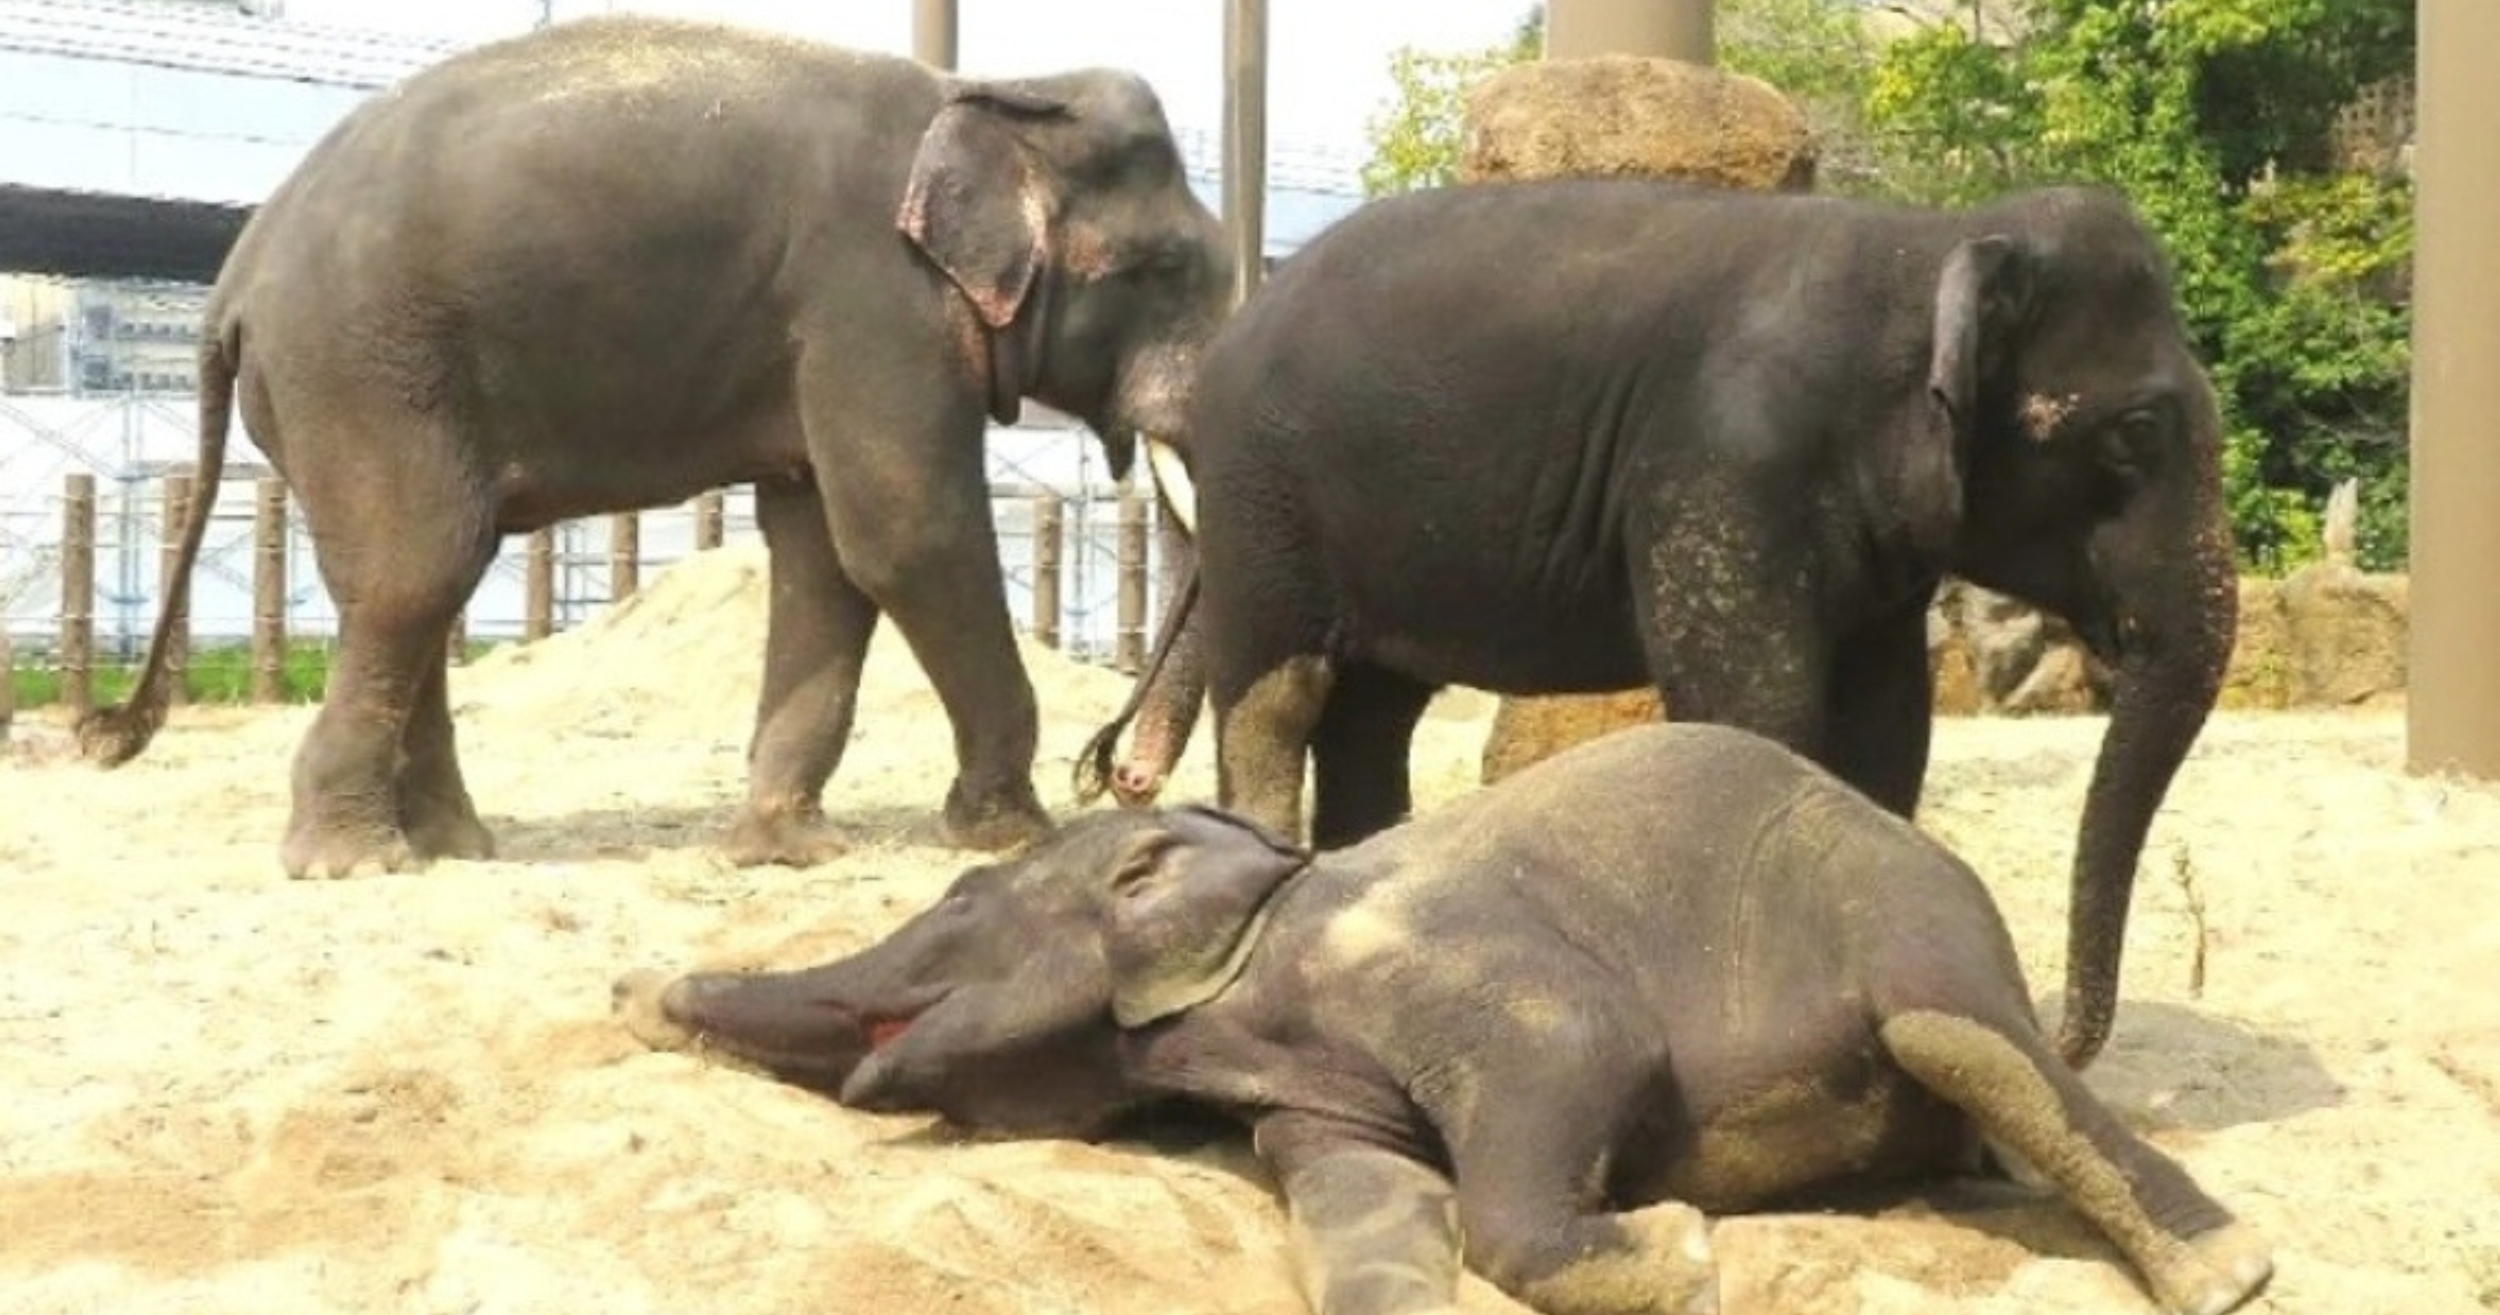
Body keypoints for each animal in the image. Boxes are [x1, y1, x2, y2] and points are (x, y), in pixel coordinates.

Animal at [75, 15, 1232, 879]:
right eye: (1169, 272)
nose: (1118, 778)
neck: (995, 91)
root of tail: (232, 281)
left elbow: (823, 553)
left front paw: (786, 849)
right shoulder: (875, 299)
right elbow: (908, 532)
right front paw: (1015, 834)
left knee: (411, 581)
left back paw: (456, 846)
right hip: (364, 372)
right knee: (418, 571)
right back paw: (359, 863)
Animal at [614, 723, 2274, 1315]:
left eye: (959, 899)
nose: (630, 995)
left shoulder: (1423, 955)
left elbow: (1576, 1046)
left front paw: (1677, 1247)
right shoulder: (1305, 1088)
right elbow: (1367, 1200)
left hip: (1908, 911)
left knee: (1967, 1035)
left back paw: (2229, 1273)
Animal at [1083, 179, 2238, 1069]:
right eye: (2136, 432)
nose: (2056, 1033)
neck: (1927, 241)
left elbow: (1885, 734)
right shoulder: (1725, 471)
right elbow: (1756, 710)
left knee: (1373, 714)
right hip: (1261, 501)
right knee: (1280, 698)